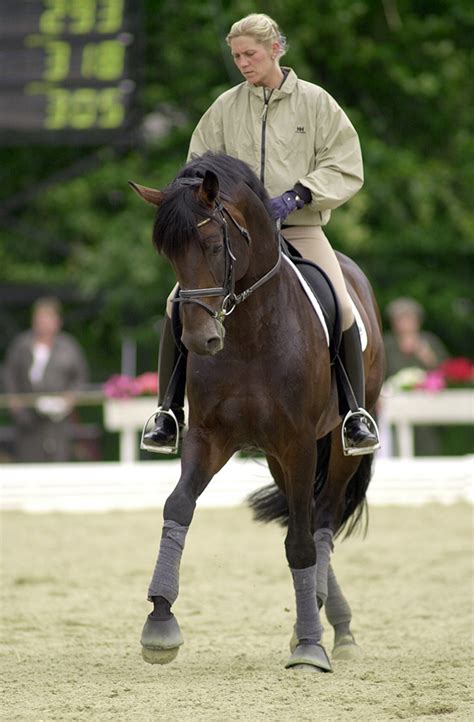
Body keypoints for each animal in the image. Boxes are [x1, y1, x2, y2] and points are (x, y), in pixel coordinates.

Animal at [130, 152, 385, 673]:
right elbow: (178, 506)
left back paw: (329, 626)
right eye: (168, 255)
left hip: (336, 448)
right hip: (274, 457)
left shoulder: (299, 442)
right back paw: (329, 618)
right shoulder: (210, 438)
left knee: (321, 519)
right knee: (300, 514)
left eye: (212, 244)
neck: (249, 330)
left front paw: (310, 646)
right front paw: (160, 622)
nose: (199, 340)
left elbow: (303, 541)